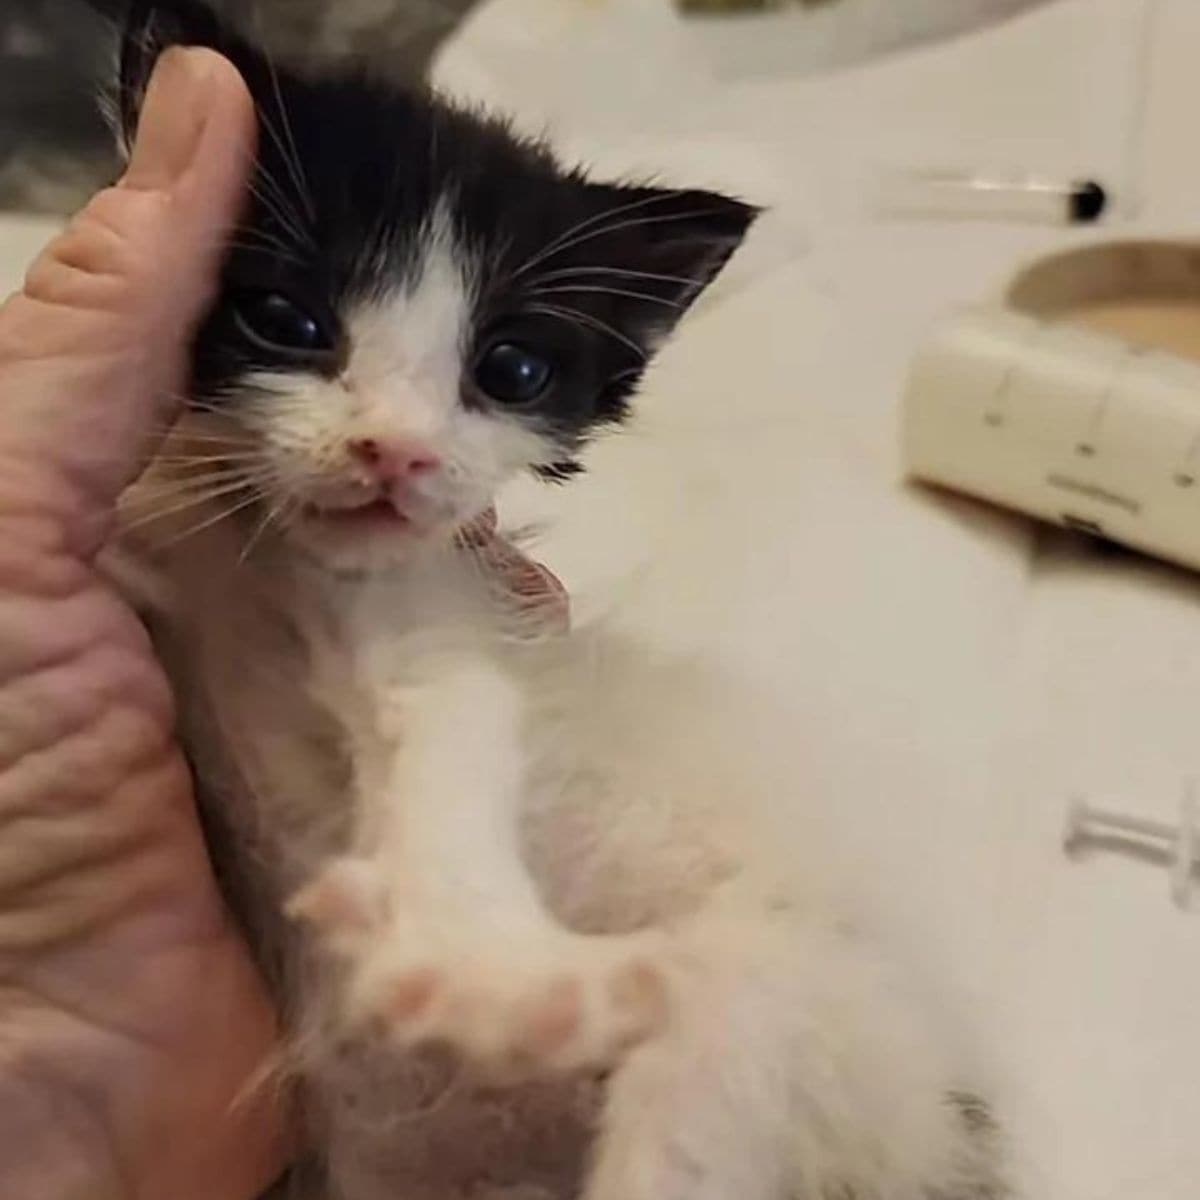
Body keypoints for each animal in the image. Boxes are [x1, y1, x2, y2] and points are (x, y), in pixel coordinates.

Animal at [98, 2, 1008, 1200]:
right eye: (288, 322)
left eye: (512, 371)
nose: (396, 452)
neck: (245, 556)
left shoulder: (427, 602)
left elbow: (451, 721)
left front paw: (479, 967)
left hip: (808, 1014)